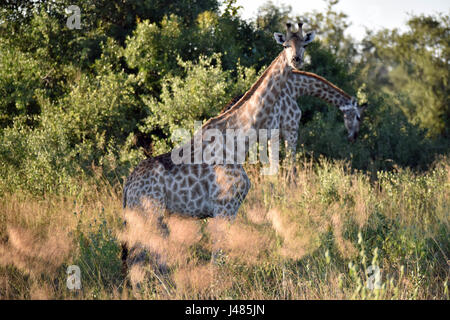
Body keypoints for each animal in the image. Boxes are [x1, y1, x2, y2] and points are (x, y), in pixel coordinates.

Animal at [121, 22, 314, 272]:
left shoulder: (226, 211)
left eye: (304, 44)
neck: (239, 141)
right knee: (140, 258)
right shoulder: (225, 208)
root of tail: (127, 187)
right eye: (285, 45)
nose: (296, 60)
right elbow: (218, 260)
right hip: (149, 215)